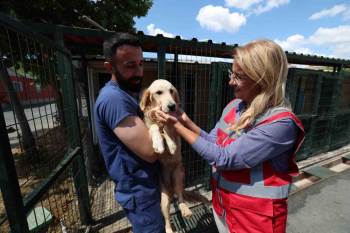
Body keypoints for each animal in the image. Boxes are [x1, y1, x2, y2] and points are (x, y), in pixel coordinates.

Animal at [139, 79, 194, 233]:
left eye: (171, 91)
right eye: (159, 92)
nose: (172, 106)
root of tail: (170, 188)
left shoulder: (175, 125)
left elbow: (169, 127)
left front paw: (172, 145)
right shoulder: (148, 126)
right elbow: (154, 127)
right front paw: (159, 143)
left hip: (178, 175)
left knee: (180, 196)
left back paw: (185, 209)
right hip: (163, 199)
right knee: (166, 219)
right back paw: (169, 229)